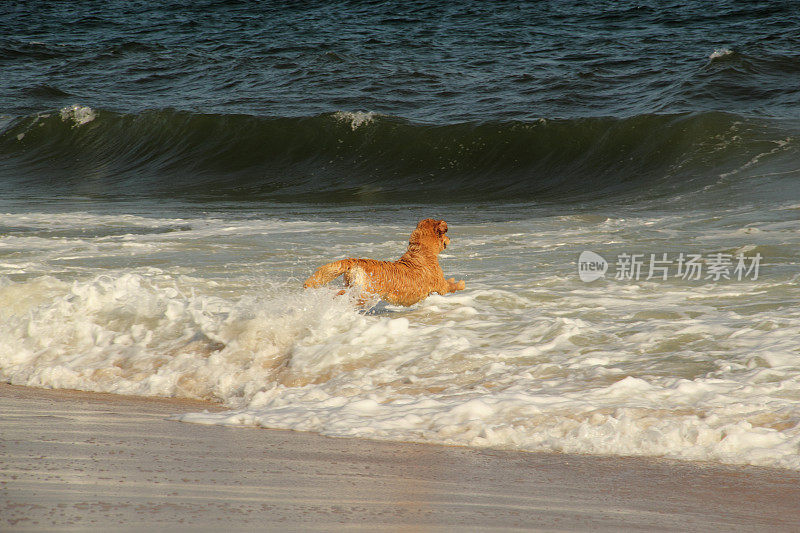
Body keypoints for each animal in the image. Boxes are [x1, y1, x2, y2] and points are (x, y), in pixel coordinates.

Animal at [306, 217, 468, 308]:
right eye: (445, 233)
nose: (450, 239)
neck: (421, 252)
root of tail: (356, 261)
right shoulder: (441, 286)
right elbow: (452, 286)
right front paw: (460, 283)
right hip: (363, 293)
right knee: (343, 294)